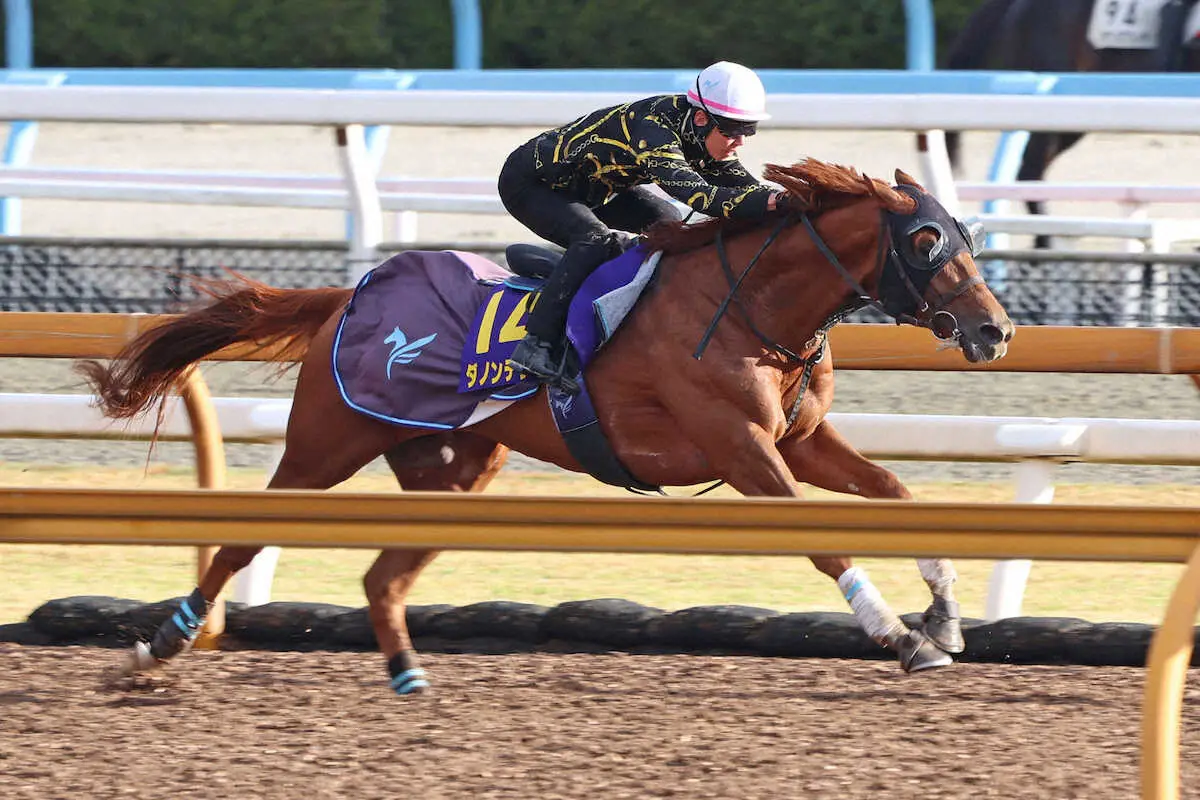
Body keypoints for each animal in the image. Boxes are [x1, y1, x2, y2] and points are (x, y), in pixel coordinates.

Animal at [78, 159, 1015, 696]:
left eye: (965, 233)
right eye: (925, 239)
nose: (996, 329)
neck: (749, 301)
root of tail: (347, 297)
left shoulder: (798, 440)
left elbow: (895, 494)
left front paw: (946, 617)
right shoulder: (742, 448)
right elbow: (822, 540)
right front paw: (900, 637)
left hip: (456, 469)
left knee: (383, 576)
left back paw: (408, 674)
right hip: (325, 443)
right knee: (241, 541)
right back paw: (157, 648)